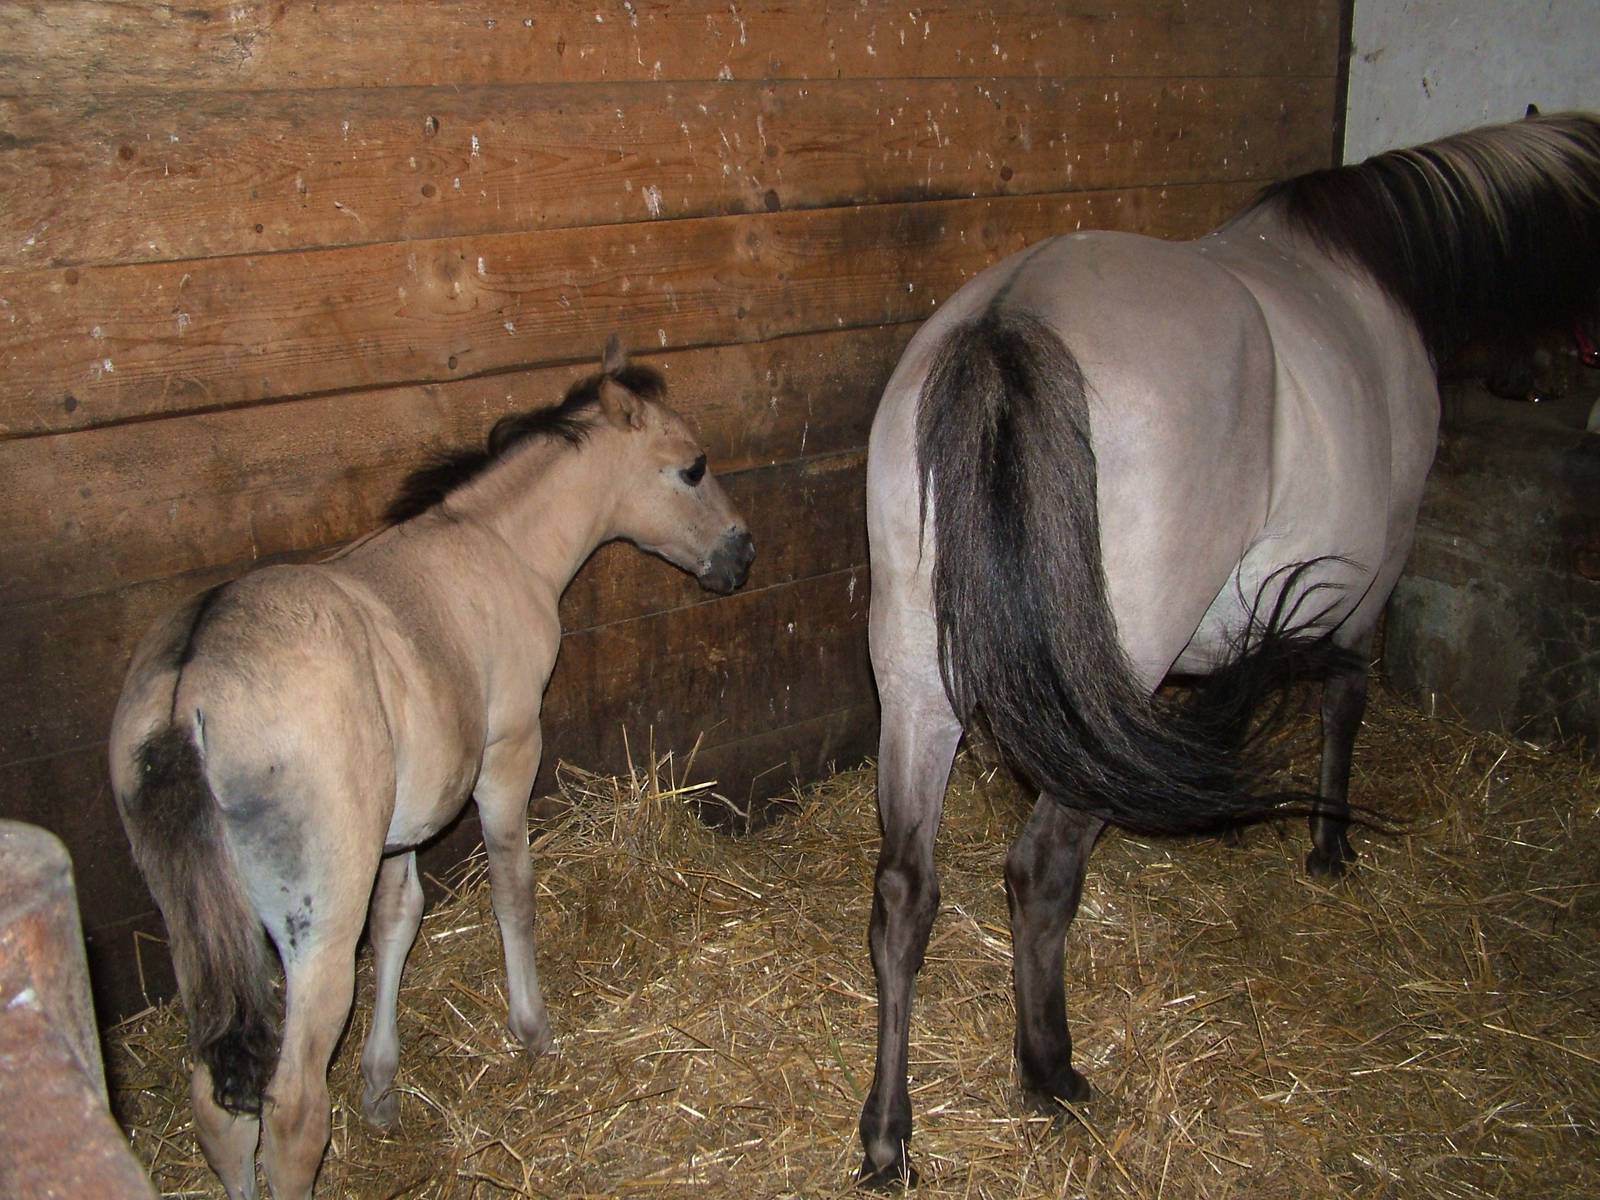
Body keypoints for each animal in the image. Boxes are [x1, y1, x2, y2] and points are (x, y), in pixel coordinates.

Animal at [109, 338, 755, 1199]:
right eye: (692, 467)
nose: (741, 552)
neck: (500, 547)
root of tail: (189, 692)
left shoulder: (398, 826)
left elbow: (399, 919)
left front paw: (382, 1088)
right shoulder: (509, 751)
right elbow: (513, 890)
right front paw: (533, 1030)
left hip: (206, 930)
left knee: (217, 1105)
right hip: (315, 925)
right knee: (291, 1113)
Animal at [857, 113, 1600, 1186]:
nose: (1540, 383)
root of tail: (1009, 320)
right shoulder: (1374, 578)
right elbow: (1345, 702)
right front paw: (1329, 845)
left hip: (920, 686)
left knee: (905, 895)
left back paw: (888, 1137)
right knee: (1041, 870)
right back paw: (1050, 1072)